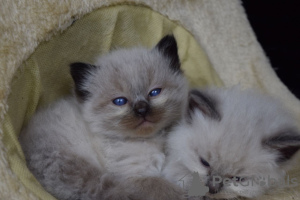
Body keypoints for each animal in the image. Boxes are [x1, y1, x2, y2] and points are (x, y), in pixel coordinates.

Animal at [19, 35, 188, 200]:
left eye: (154, 92)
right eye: (119, 101)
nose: (142, 110)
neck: (150, 139)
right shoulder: (134, 177)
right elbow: (162, 187)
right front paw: (183, 192)